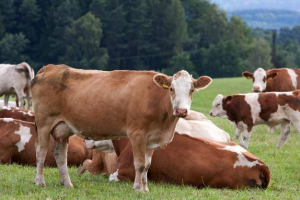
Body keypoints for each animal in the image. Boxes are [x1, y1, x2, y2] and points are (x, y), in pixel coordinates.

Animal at [31, 64, 212, 192]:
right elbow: (139, 164)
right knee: (41, 151)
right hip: (44, 123)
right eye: (172, 89)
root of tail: (52, 67)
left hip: (63, 128)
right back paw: (40, 181)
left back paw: (67, 183)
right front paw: (138, 188)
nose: (181, 111)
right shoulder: (137, 134)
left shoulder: (151, 139)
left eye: (192, 90)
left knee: (60, 153)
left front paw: (145, 187)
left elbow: (147, 165)